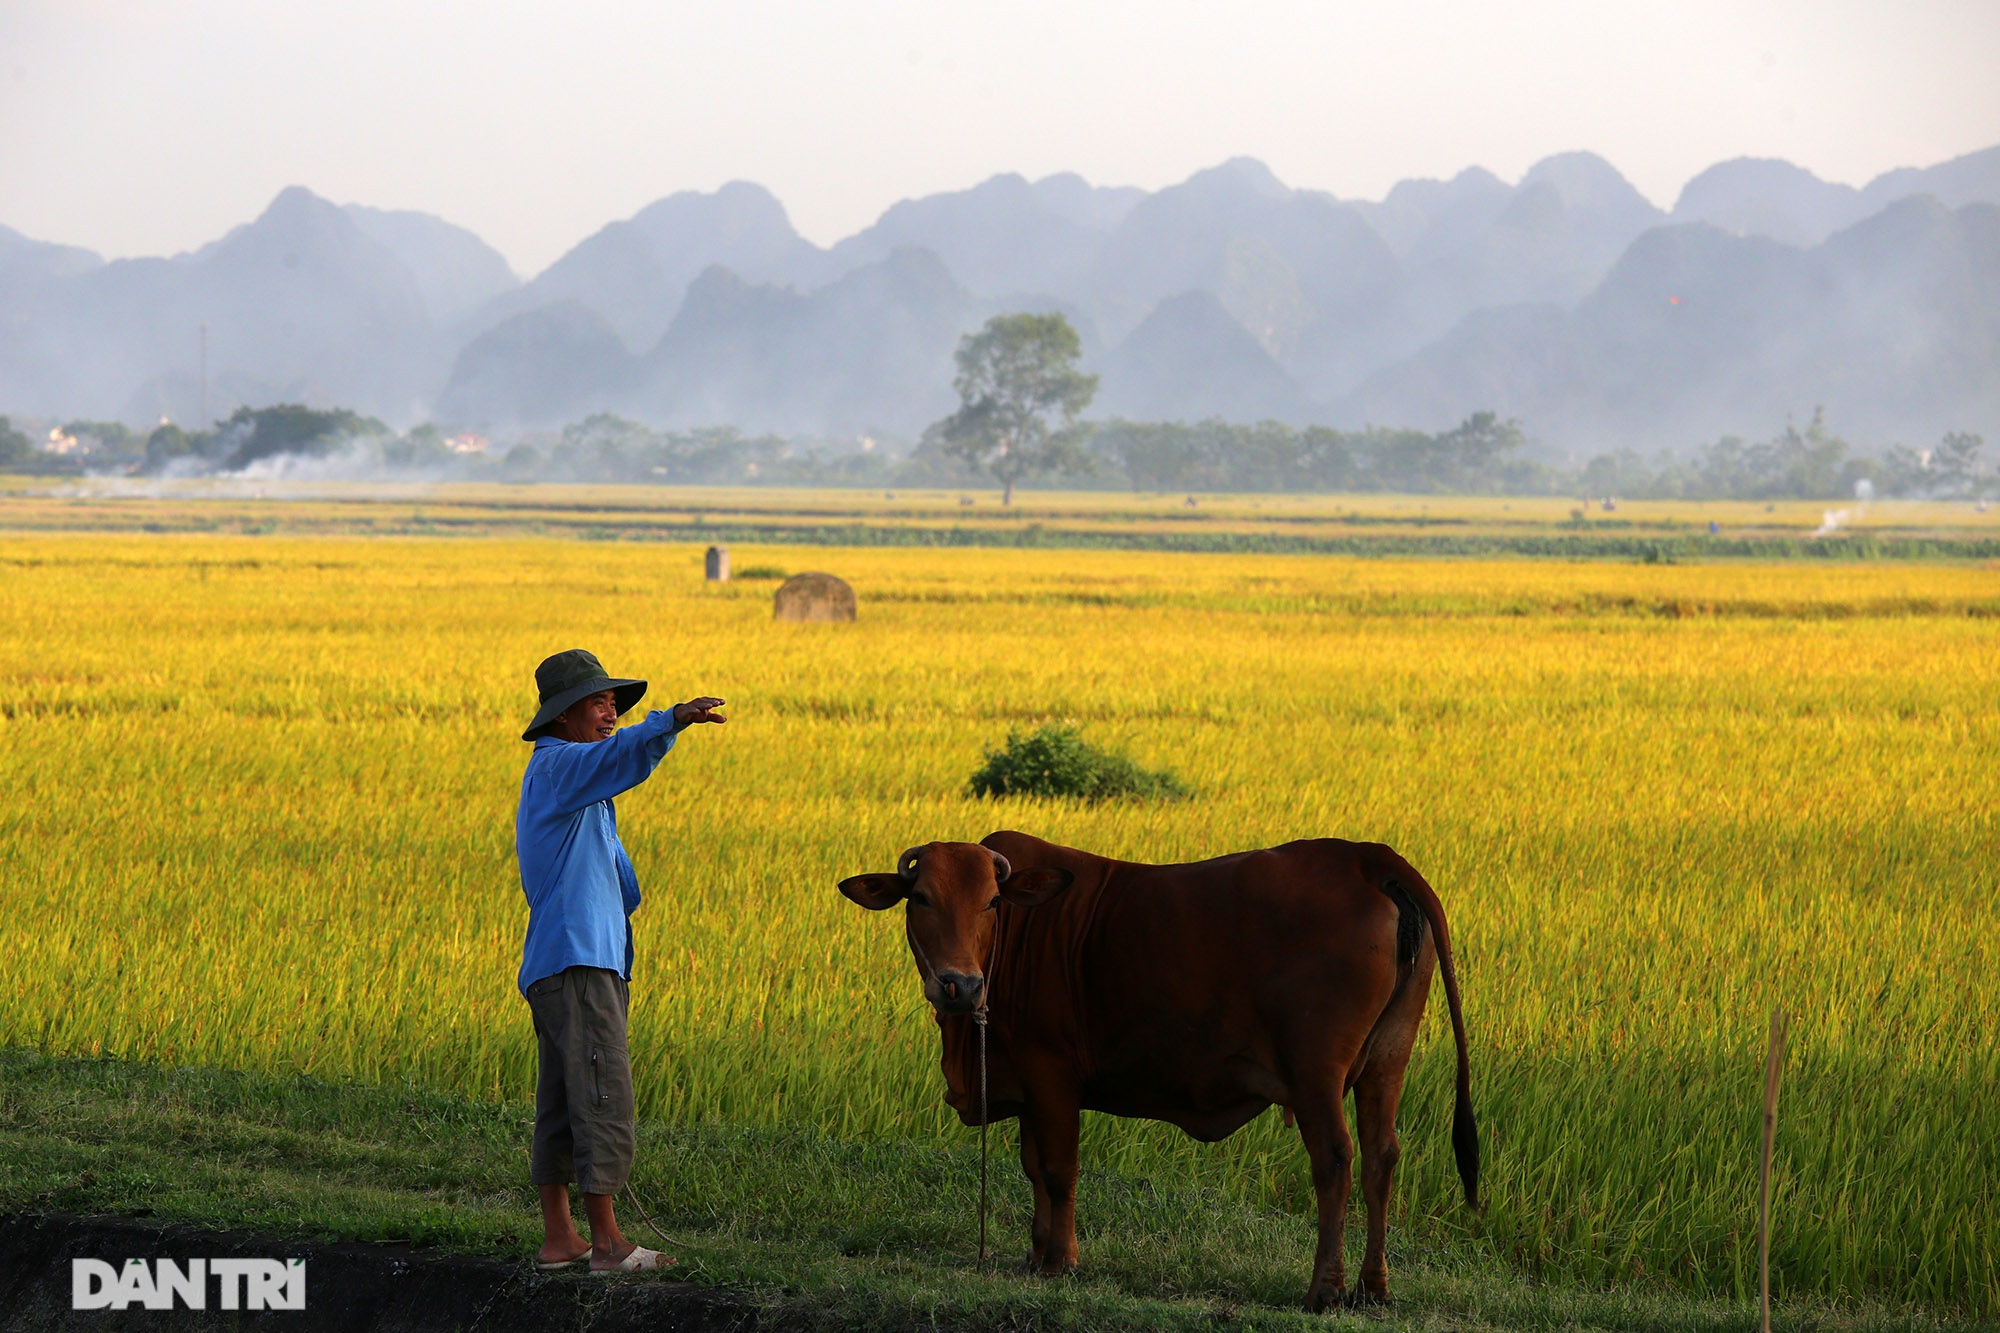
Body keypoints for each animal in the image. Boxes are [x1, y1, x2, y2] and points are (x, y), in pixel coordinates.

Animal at [836, 824, 1480, 1304]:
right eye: (920, 898)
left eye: (991, 902)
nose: (959, 986)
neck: (1016, 938)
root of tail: (1367, 857)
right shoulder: (1027, 1085)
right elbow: (1032, 1167)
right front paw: (1036, 1255)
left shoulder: (1051, 1075)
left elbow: (1058, 1171)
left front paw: (1062, 1260)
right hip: (1387, 1059)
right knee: (1381, 1157)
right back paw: (1374, 1287)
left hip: (1315, 1072)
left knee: (1335, 1160)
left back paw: (1324, 1289)